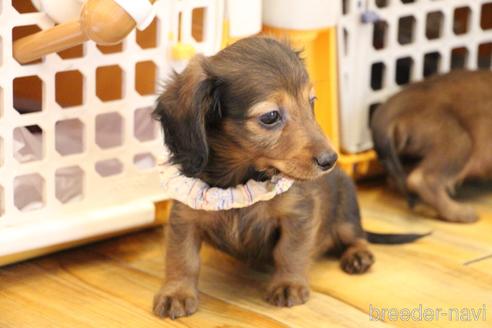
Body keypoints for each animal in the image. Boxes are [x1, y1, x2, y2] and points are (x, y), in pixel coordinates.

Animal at [153, 37, 422, 320]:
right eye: (270, 116)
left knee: (356, 236)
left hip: (346, 212)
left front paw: (288, 284)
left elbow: (289, 252)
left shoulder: (297, 215)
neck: (240, 178)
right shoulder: (184, 218)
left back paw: (358, 256)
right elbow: (182, 259)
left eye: (311, 101)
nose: (330, 160)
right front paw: (177, 292)